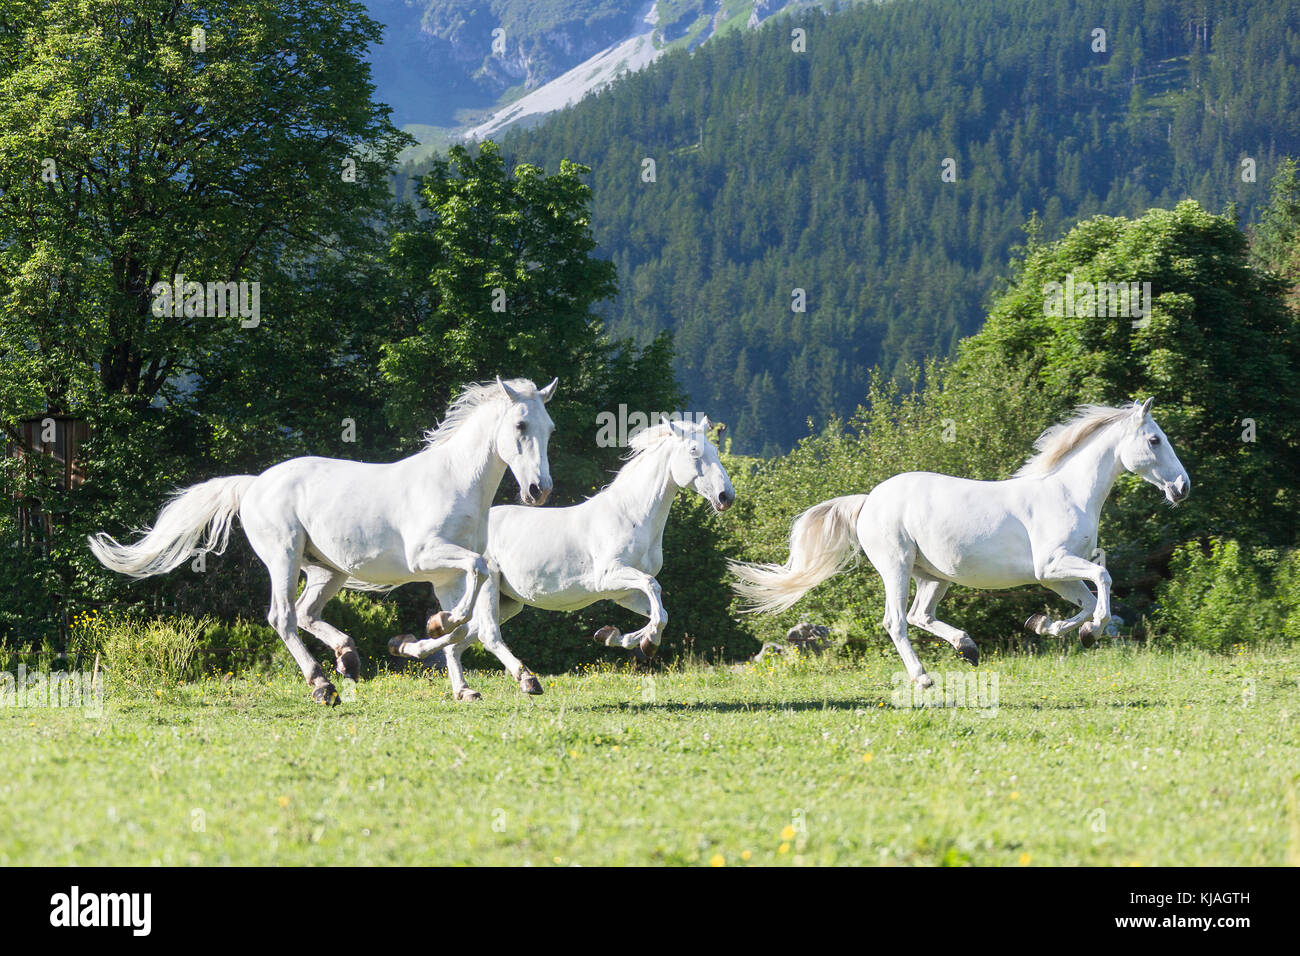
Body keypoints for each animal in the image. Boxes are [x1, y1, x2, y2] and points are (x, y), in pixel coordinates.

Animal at [87, 379, 559, 702]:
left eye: (550, 429)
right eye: (520, 424)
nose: (539, 491)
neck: (457, 482)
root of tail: (253, 483)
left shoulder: (446, 576)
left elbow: (464, 624)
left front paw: (442, 664)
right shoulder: (427, 559)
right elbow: (471, 598)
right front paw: (427, 637)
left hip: (327, 571)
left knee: (307, 612)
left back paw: (347, 657)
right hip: (284, 556)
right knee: (282, 616)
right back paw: (322, 685)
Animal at [382, 418, 733, 702]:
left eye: (716, 451)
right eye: (694, 452)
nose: (726, 497)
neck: (632, 516)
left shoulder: (622, 592)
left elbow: (661, 613)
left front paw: (616, 637)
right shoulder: (610, 576)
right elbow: (654, 589)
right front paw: (641, 643)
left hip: (509, 602)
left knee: (459, 637)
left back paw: (441, 673)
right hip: (489, 586)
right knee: (486, 635)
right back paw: (528, 681)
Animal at [733, 403, 1190, 686]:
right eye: (1155, 440)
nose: (1183, 487)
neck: (1068, 492)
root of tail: (868, 501)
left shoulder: (1056, 576)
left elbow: (1085, 602)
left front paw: (1053, 627)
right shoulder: (1052, 565)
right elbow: (1104, 578)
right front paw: (1087, 630)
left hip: (934, 576)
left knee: (920, 615)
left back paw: (966, 648)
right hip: (897, 567)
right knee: (896, 621)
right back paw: (922, 678)